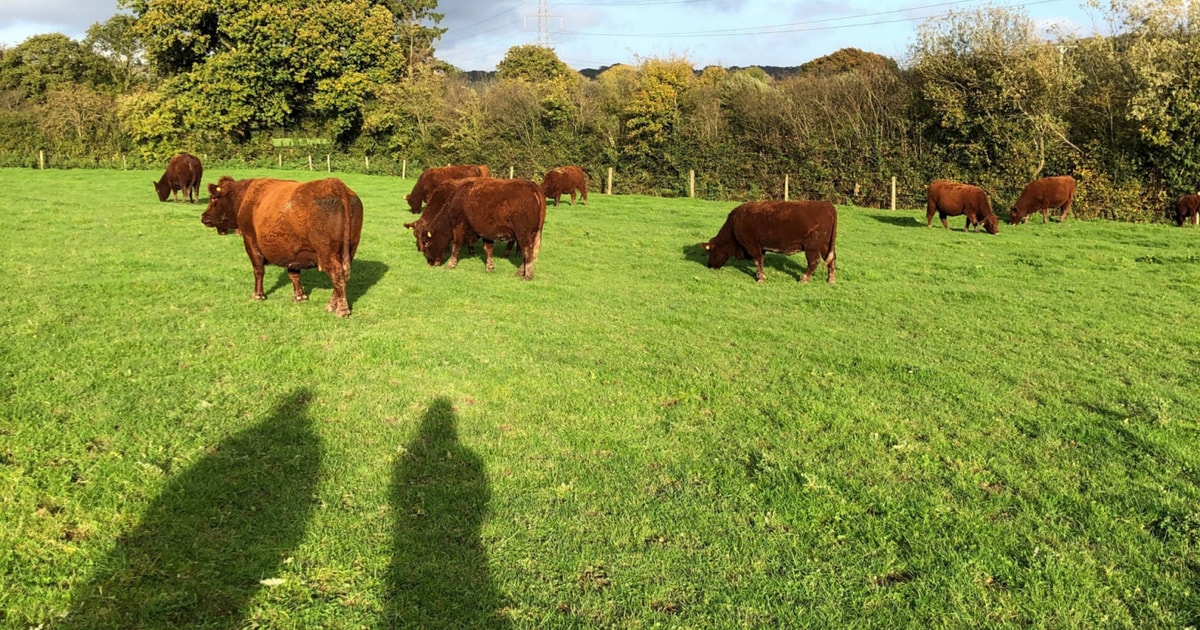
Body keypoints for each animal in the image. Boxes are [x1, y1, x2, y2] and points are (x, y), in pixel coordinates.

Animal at [201, 176, 364, 317]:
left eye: (213, 198)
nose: (203, 216)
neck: (244, 198)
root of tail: (335, 184)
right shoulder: (292, 253)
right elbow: (294, 274)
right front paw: (300, 296)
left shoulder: (250, 242)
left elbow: (258, 271)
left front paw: (258, 295)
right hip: (350, 249)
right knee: (344, 275)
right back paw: (332, 305)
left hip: (327, 253)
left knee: (337, 274)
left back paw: (340, 309)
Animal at [417, 178, 545, 280]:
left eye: (427, 243)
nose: (430, 263)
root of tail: (533, 186)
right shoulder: (486, 231)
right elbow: (488, 248)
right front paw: (490, 267)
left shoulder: (459, 225)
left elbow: (456, 245)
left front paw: (450, 264)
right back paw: (520, 272)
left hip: (523, 234)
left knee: (528, 251)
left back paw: (527, 276)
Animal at [700, 200, 837, 284]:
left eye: (710, 251)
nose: (709, 266)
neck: (734, 224)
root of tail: (827, 205)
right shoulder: (761, 247)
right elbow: (760, 260)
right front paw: (758, 275)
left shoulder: (752, 245)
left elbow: (757, 260)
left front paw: (761, 278)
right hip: (825, 246)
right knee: (831, 260)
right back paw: (831, 280)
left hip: (812, 247)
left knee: (814, 261)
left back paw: (803, 279)